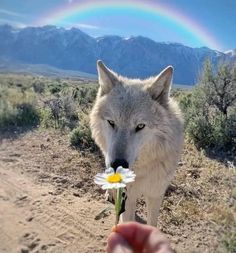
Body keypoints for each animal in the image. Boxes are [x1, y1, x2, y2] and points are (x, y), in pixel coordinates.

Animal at [89, 60, 183, 226]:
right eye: (111, 122)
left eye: (140, 126)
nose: (117, 164)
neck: (141, 171)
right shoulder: (128, 197)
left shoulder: (155, 194)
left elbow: (152, 224)